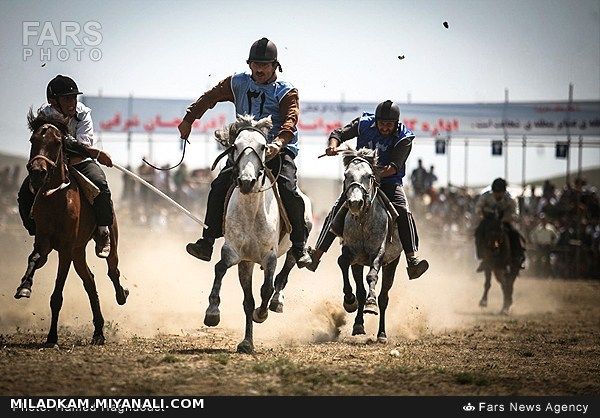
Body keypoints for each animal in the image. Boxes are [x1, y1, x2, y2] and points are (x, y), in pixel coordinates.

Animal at [14, 110, 128, 346]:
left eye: (58, 142)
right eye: (33, 139)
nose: (37, 172)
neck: (56, 196)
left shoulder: (65, 249)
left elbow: (57, 296)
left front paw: (52, 338)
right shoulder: (44, 241)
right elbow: (34, 258)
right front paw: (24, 287)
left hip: (106, 242)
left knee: (112, 269)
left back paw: (121, 295)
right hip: (78, 251)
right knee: (90, 281)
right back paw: (98, 332)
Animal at [203, 113, 312, 352]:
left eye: (263, 147)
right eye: (235, 146)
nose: (246, 181)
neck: (252, 212)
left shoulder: (269, 257)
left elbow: (266, 289)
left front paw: (261, 314)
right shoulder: (237, 255)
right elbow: (223, 273)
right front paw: (213, 313)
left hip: (297, 239)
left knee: (288, 266)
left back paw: (277, 301)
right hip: (248, 262)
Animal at [338, 149, 404, 342]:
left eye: (369, 176)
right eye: (346, 175)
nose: (355, 203)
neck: (363, 222)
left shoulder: (378, 253)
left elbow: (372, 276)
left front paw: (371, 303)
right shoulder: (352, 254)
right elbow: (342, 262)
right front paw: (349, 300)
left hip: (392, 263)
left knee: (384, 298)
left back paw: (382, 333)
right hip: (358, 264)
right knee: (360, 291)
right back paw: (358, 324)